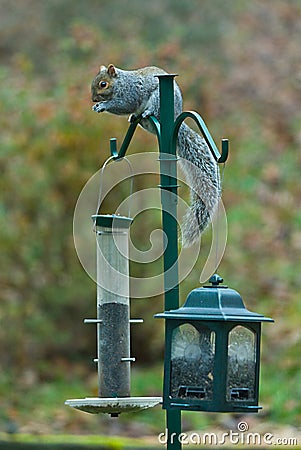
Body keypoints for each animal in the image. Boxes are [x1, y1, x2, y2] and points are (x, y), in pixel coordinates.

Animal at [90, 63, 219, 246]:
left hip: (157, 101)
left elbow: (123, 105)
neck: (121, 83)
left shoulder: (130, 94)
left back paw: (146, 113)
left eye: (103, 84)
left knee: (151, 111)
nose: (94, 100)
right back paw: (135, 116)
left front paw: (103, 106)